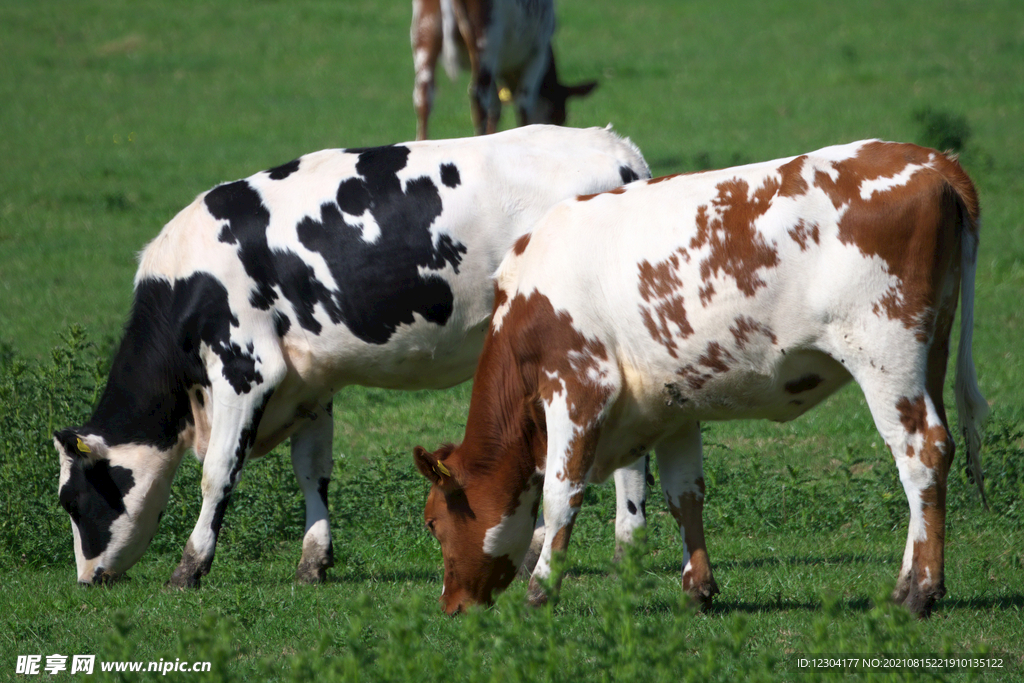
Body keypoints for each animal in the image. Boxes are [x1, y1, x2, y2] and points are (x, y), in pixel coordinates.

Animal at [56, 124, 647, 589]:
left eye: (72, 501)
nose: (86, 580)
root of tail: (616, 149)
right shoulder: (310, 382)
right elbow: (312, 471)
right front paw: (313, 561)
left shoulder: (246, 368)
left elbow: (217, 473)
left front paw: (189, 568)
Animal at [409, 0, 598, 140]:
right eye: (558, 117)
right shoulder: (538, 54)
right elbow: (523, 104)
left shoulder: (497, 67)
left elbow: (496, 107)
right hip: (485, 39)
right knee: (478, 99)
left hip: (423, 32)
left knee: (423, 96)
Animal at [411, 140, 987, 618]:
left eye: (434, 523)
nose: (450, 605)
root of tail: (932, 161)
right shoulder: (671, 405)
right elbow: (684, 494)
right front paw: (698, 589)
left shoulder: (577, 387)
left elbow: (560, 496)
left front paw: (541, 591)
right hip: (930, 352)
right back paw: (906, 584)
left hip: (885, 354)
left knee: (921, 454)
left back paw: (919, 593)